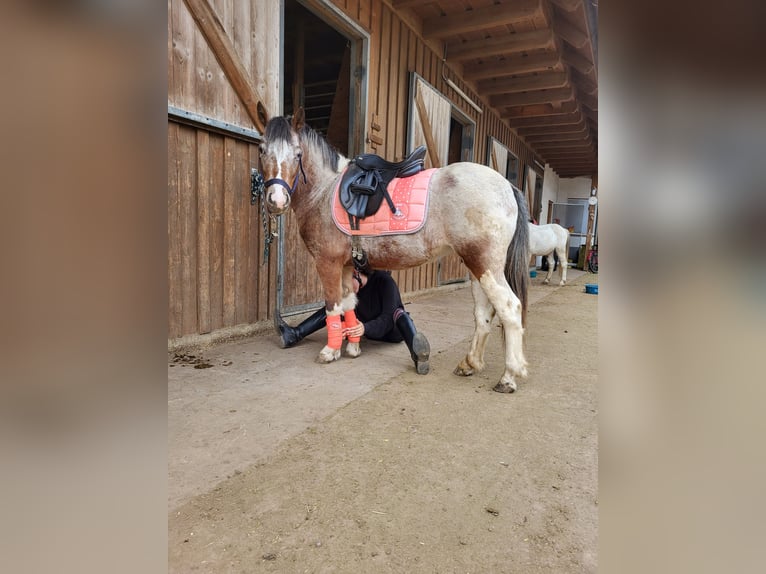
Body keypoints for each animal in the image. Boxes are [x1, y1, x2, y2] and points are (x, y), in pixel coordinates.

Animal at [260, 110, 532, 394]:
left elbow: (332, 306)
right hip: (477, 266)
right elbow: (349, 303)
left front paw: (330, 351)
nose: (276, 201)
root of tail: (507, 186)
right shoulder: (346, 266)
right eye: (262, 150)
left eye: (297, 153)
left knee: (510, 308)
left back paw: (508, 377)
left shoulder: (328, 263)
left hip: (484, 264)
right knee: (483, 314)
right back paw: (470, 364)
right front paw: (353, 347)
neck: (324, 192)